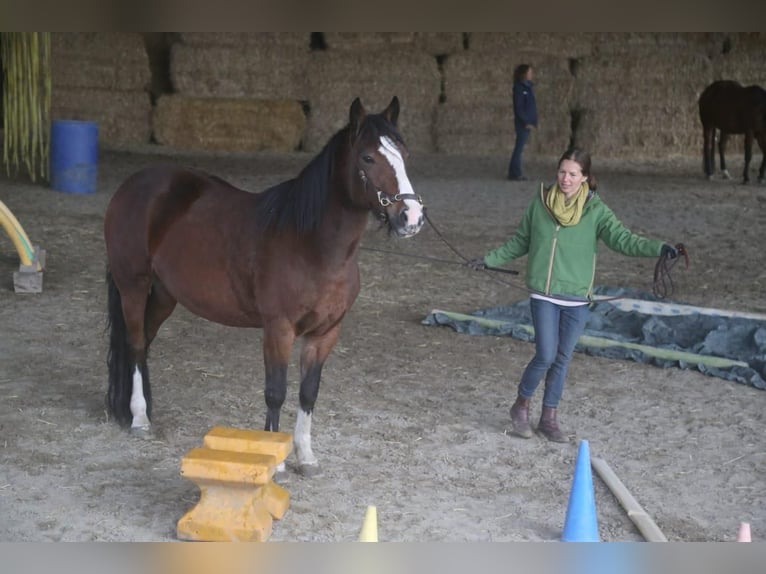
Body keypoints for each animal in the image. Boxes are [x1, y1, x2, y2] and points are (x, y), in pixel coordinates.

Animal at [103, 98, 426, 476]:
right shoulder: (278, 329)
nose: (411, 217)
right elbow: (276, 391)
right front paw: (277, 459)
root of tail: (135, 183)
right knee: (136, 343)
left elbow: (308, 392)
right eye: (368, 158)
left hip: (166, 295)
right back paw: (139, 418)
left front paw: (306, 456)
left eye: (404, 153)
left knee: (145, 341)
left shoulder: (326, 332)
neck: (312, 245)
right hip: (133, 285)